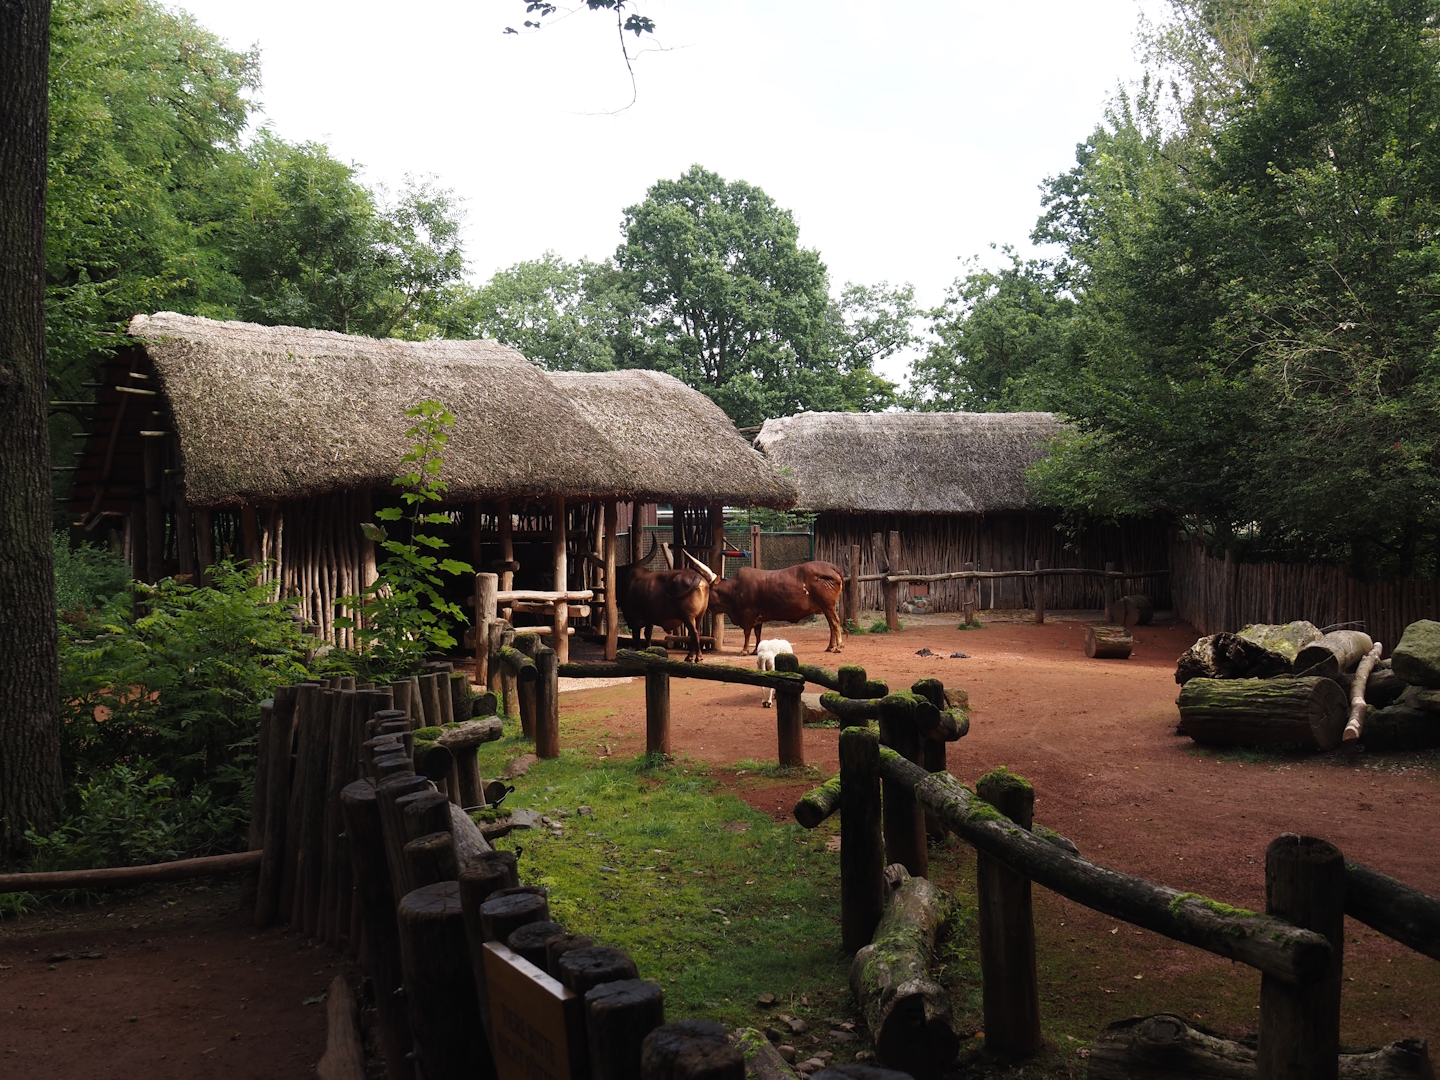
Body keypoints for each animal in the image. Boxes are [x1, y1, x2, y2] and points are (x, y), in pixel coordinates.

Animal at [685, 554, 846, 654]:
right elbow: (757, 633)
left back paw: (838, 647)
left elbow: (747, 633)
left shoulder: (748, 615)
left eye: (707, 589)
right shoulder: (758, 617)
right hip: (827, 608)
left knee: (835, 623)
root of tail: (832, 568)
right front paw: (755, 650)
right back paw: (830, 647)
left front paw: (744, 650)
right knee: (832, 625)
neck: (735, 589)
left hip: (827, 606)